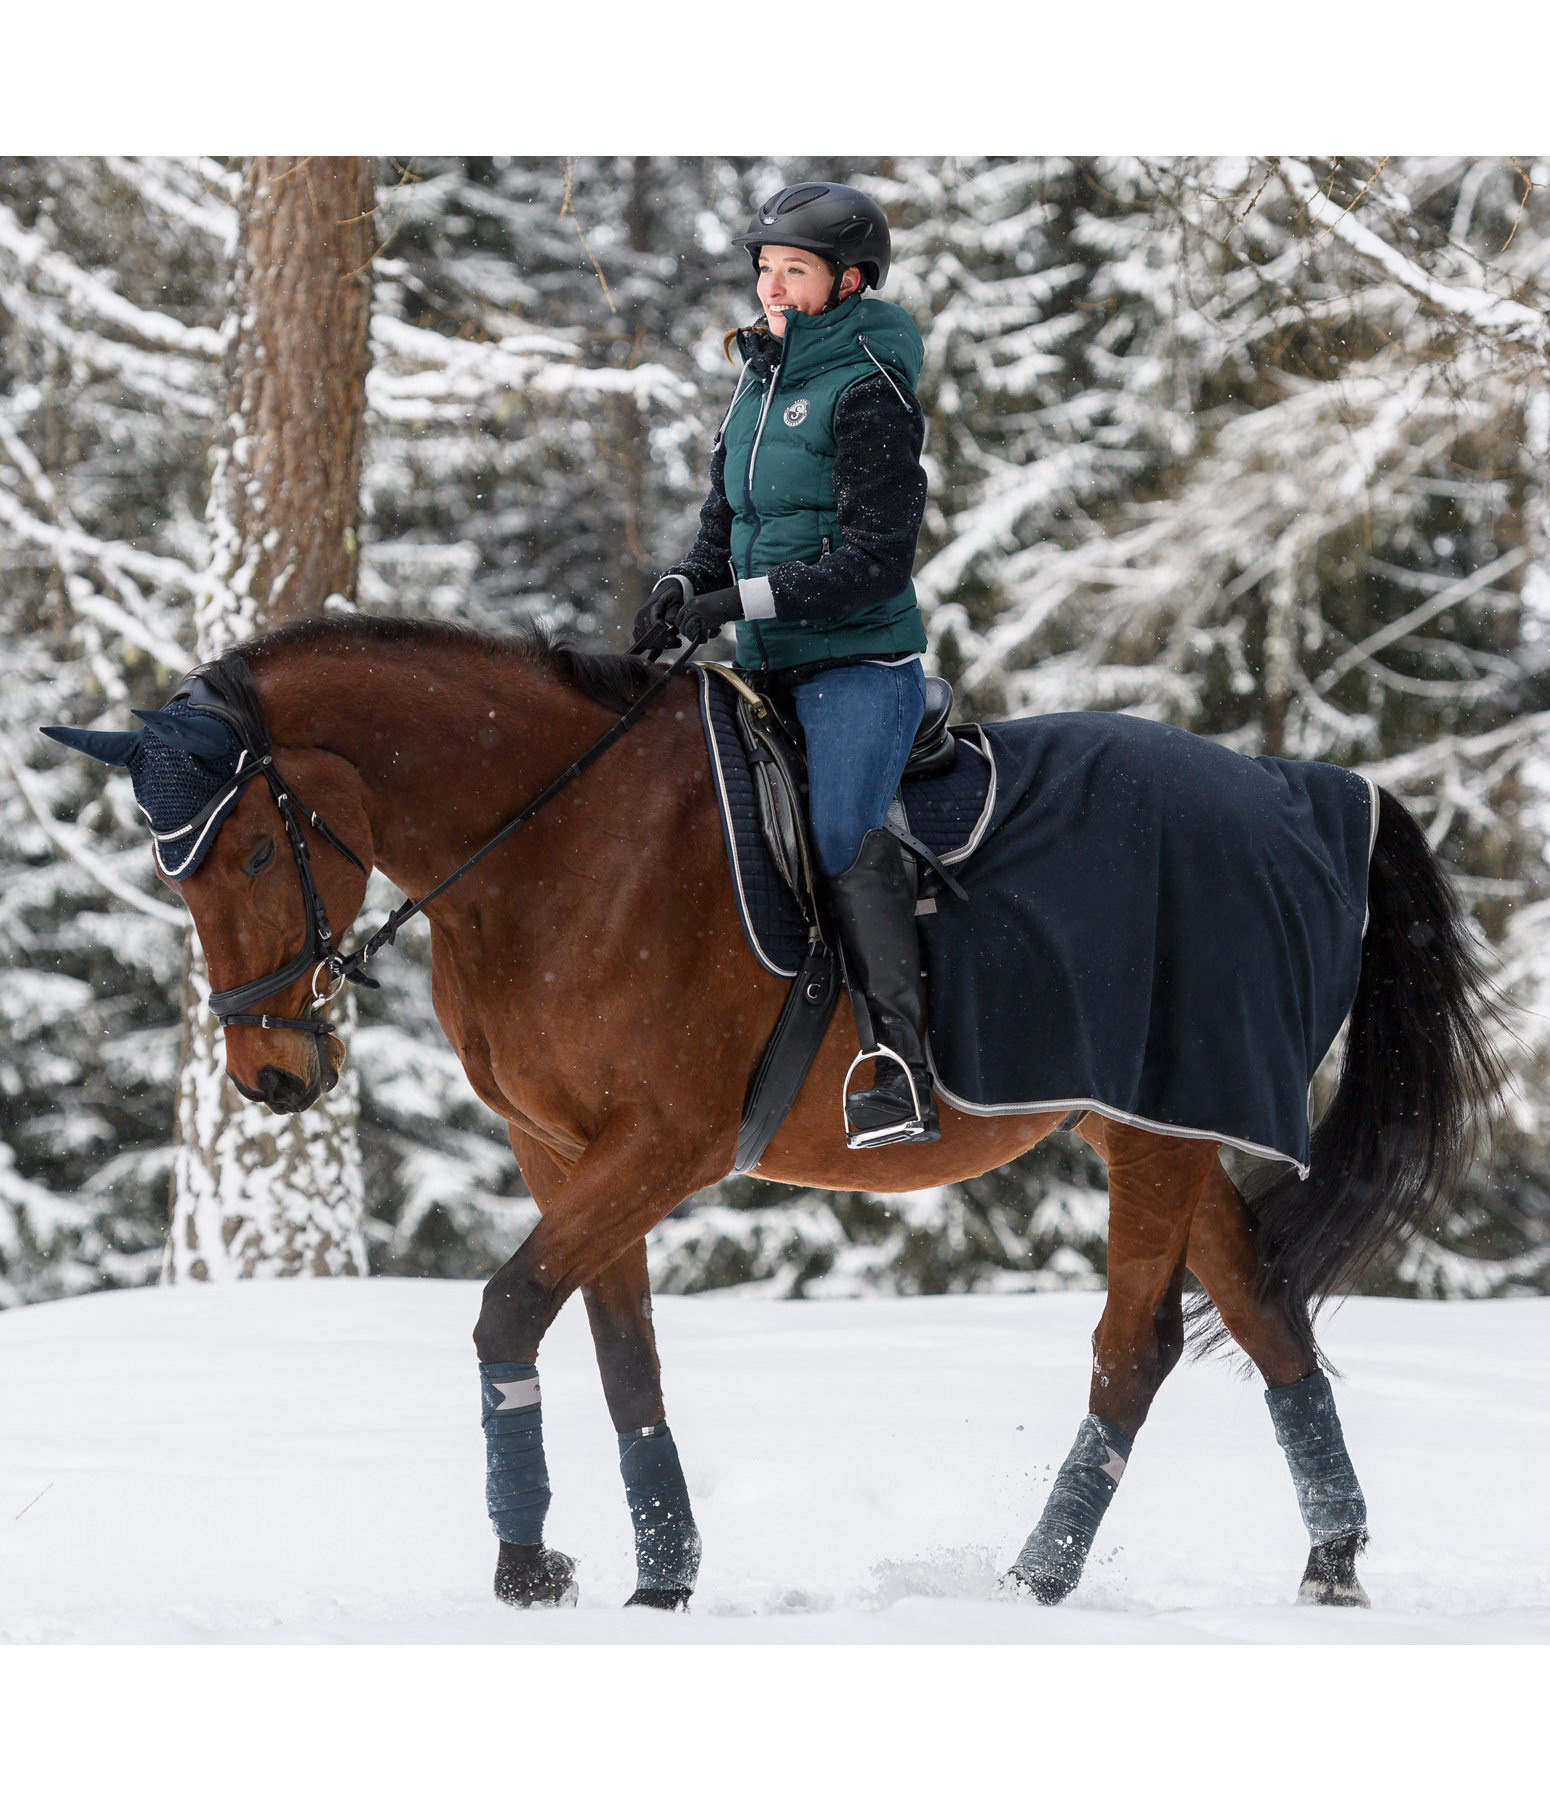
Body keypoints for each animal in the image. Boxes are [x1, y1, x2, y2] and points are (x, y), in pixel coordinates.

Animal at [48, 619, 1497, 1620]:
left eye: (251, 851)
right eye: (174, 877)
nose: (269, 1077)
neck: (554, 847)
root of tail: (1308, 790)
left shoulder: (661, 1144)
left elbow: (508, 1311)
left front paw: (525, 1567)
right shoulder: (561, 1151)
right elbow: (621, 1357)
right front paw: (653, 1574)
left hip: (1155, 1129)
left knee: (1133, 1348)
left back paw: (1034, 1580)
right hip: (1146, 1119)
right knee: (1265, 1314)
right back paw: (1329, 1560)